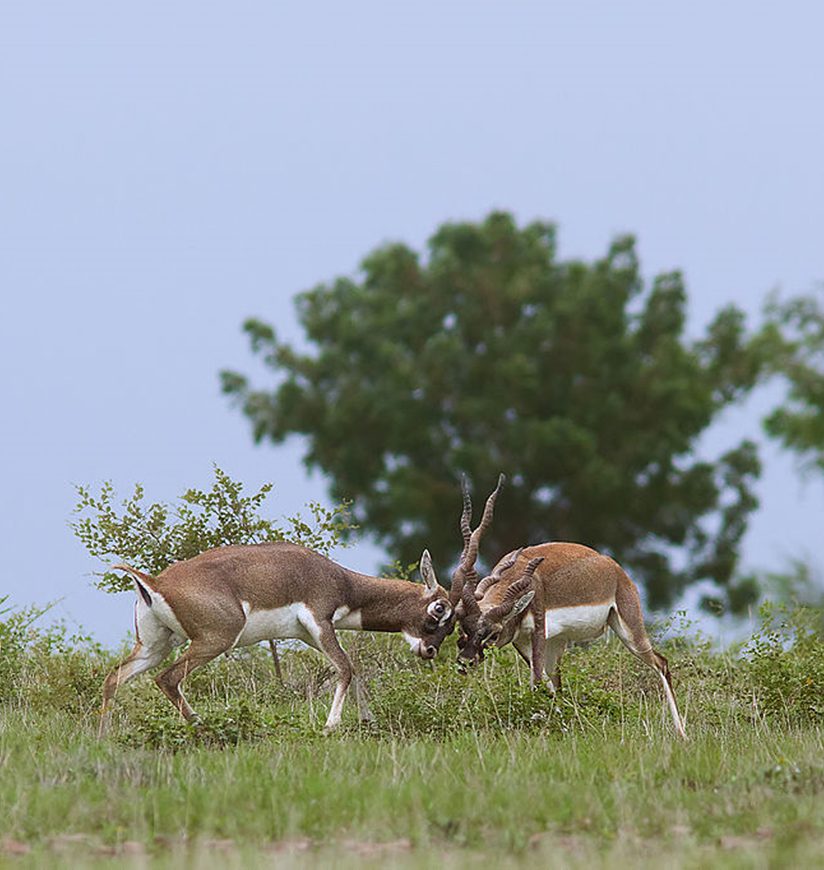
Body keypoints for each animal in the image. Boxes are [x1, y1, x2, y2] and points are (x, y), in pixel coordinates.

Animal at [100, 544, 458, 736]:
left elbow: (353, 668)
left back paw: (102, 736)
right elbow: (344, 668)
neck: (342, 582)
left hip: (156, 646)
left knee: (114, 677)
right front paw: (329, 727)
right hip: (215, 640)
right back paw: (205, 728)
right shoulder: (319, 621)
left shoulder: (310, 634)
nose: (430, 650)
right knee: (168, 678)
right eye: (440, 609)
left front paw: (367, 720)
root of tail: (155, 581)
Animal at [454, 480, 684, 740]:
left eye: (493, 634)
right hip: (557, 644)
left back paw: (682, 734)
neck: (521, 573)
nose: (465, 662)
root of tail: (613, 568)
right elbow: (545, 684)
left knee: (661, 663)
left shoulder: (538, 629)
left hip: (631, 632)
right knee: (557, 684)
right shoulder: (521, 640)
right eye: (463, 627)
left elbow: (537, 682)